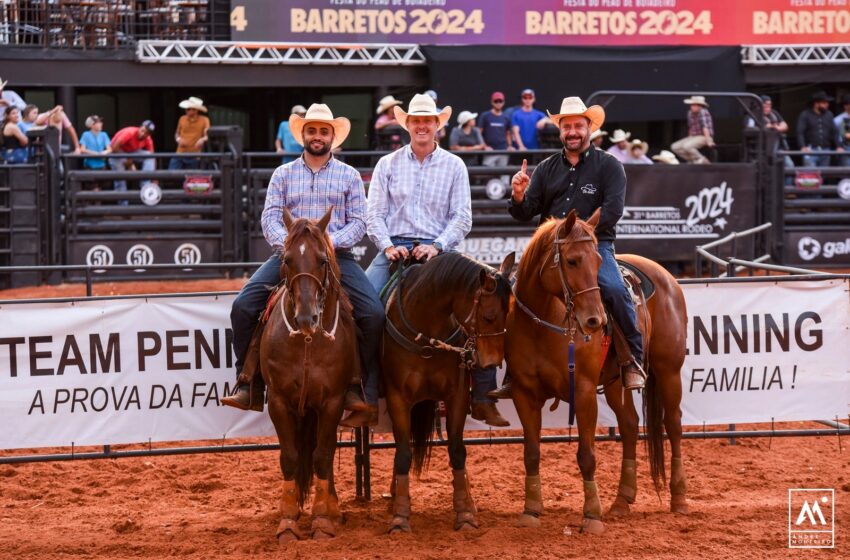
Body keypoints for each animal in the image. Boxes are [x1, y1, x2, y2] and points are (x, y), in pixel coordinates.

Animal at [250, 208, 360, 544]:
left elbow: (322, 455)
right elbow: (291, 456)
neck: (309, 341)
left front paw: (322, 519)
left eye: (322, 260)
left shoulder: (333, 401)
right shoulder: (279, 401)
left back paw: (332, 509)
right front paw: (288, 520)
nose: (305, 317)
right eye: (287, 259)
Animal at [382, 253, 510, 532]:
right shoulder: (397, 398)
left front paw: (465, 513)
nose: (492, 362)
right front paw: (400, 516)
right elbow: (403, 454)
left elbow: (457, 450)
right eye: (488, 316)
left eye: (509, 313)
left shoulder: (457, 396)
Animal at [506, 209, 684, 532]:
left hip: (669, 370)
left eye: (598, 261)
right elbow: (531, 453)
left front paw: (591, 515)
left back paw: (679, 498)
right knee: (629, 425)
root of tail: (667, 276)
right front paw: (531, 510)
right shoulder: (523, 393)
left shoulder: (585, 391)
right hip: (615, 382)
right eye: (572, 260)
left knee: (673, 424)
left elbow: (587, 455)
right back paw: (621, 501)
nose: (595, 321)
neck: (545, 324)